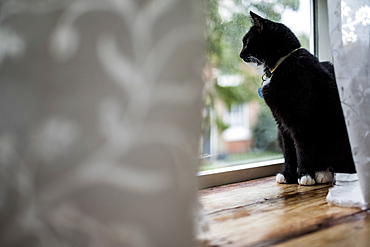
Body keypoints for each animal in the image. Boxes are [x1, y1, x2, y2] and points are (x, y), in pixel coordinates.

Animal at [240, 11, 356, 185]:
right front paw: (288, 174)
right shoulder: (282, 122)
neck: (282, 63)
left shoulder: (301, 119)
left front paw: (305, 175)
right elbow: (289, 150)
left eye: (247, 41)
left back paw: (322, 173)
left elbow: (302, 147)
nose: (240, 54)